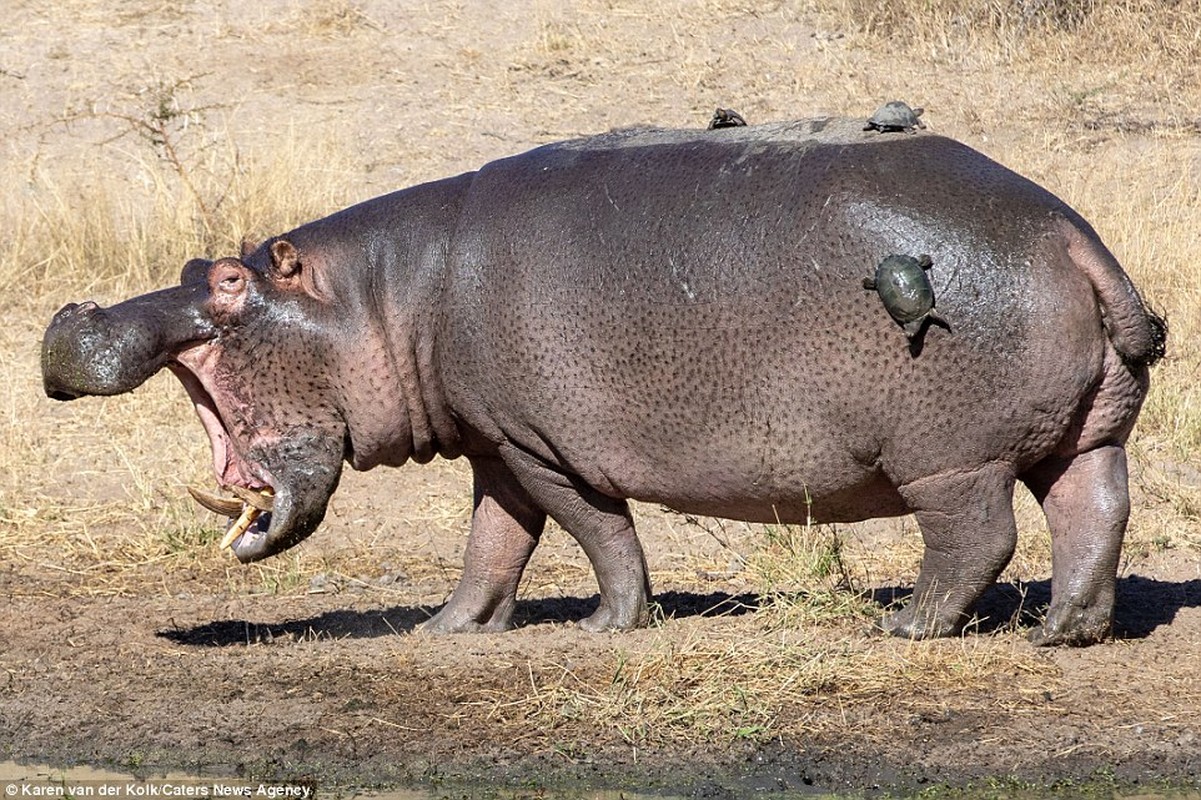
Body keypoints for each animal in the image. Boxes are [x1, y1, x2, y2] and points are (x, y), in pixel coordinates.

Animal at [42, 117, 1167, 643]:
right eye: (195, 264)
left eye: (229, 282)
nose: (73, 317)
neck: (381, 298)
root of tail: (1071, 235)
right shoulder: (495, 440)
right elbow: (492, 542)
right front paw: (446, 628)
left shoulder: (544, 446)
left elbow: (594, 530)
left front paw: (604, 625)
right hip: (1084, 428)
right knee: (1092, 507)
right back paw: (1064, 630)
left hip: (946, 456)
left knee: (978, 535)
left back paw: (904, 627)